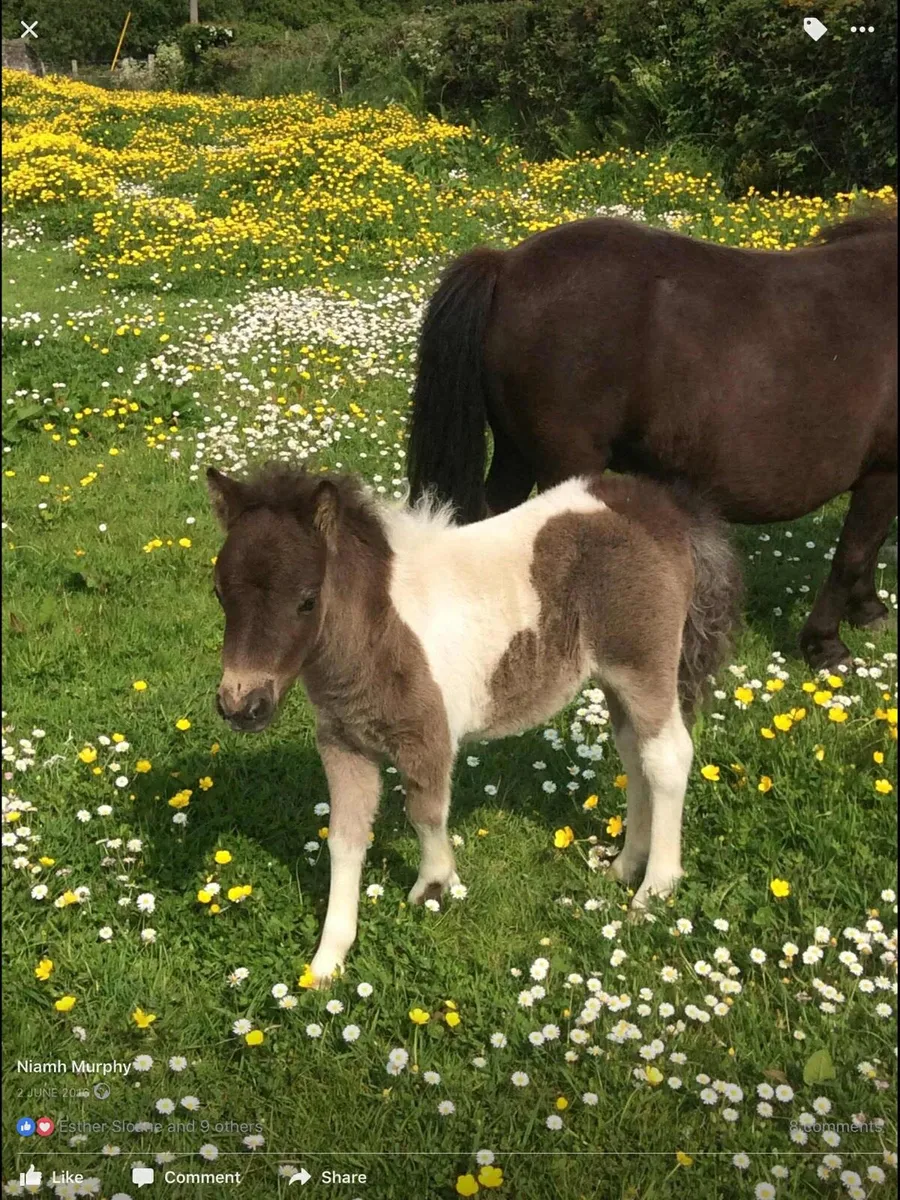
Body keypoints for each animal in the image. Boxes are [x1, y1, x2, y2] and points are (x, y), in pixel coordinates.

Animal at [207, 464, 740, 986]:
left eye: (307, 600)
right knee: (635, 756)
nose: (242, 704)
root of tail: (664, 508)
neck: (378, 627)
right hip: (616, 679)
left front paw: (434, 885)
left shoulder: (428, 737)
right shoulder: (343, 744)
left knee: (667, 758)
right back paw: (625, 866)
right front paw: (325, 963)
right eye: (218, 594)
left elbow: (426, 812)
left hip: (643, 665)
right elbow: (345, 839)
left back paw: (654, 891)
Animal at [406, 208, 898, 672]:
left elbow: (868, 548)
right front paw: (825, 645)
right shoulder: (883, 473)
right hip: (564, 461)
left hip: (515, 453)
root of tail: (506, 263)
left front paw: (868, 611)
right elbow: (853, 554)